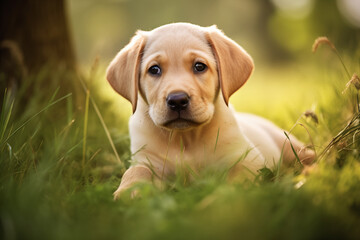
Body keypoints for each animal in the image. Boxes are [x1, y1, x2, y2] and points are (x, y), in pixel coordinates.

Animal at [107, 22, 316, 199]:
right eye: (154, 69)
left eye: (199, 66)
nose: (177, 100)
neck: (186, 139)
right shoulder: (148, 160)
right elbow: (135, 171)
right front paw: (128, 191)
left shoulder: (247, 160)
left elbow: (237, 181)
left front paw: (217, 199)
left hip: (289, 146)